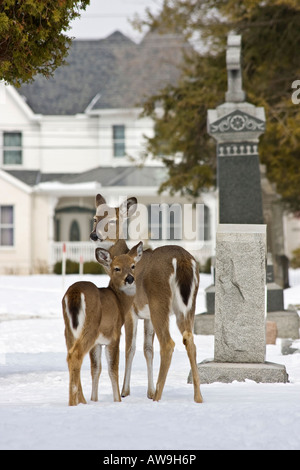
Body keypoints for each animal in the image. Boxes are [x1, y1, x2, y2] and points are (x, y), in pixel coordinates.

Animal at [61, 241, 143, 406]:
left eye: (133, 265)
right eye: (116, 268)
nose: (130, 279)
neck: (120, 303)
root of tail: (74, 293)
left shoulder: (97, 343)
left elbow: (96, 369)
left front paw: (94, 399)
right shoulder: (114, 335)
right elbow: (113, 369)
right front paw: (118, 400)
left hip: (69, 330)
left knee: (70, 356)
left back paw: (82, 401)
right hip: (90, 327)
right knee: (75, 355)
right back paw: (73, 403)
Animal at [90, 195, 203, 404]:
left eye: (112, 220)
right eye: (95, 218)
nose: (94, 235)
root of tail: (183, 260)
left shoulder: (130, 311)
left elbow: (130, 348)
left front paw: (125, 391)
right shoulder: (147, 315)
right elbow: (148, 349)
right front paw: (149, 391)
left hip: (160, 302)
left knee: (168, 344)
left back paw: (158, 397)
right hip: (187, 305)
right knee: (189, 340)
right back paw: (197, 397)